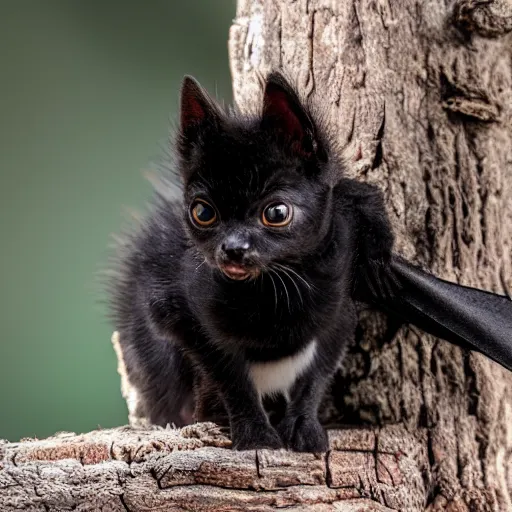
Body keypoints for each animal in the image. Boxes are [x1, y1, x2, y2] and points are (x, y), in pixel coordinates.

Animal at [110, 73, 394, 452]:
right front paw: (254, 433)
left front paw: (303, 425)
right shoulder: (175, 311)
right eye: (202, 212)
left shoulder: (340, 311)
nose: (233, 248)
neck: (269, 289)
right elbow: (231, 377)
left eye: (276, 213)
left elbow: (315, 376)